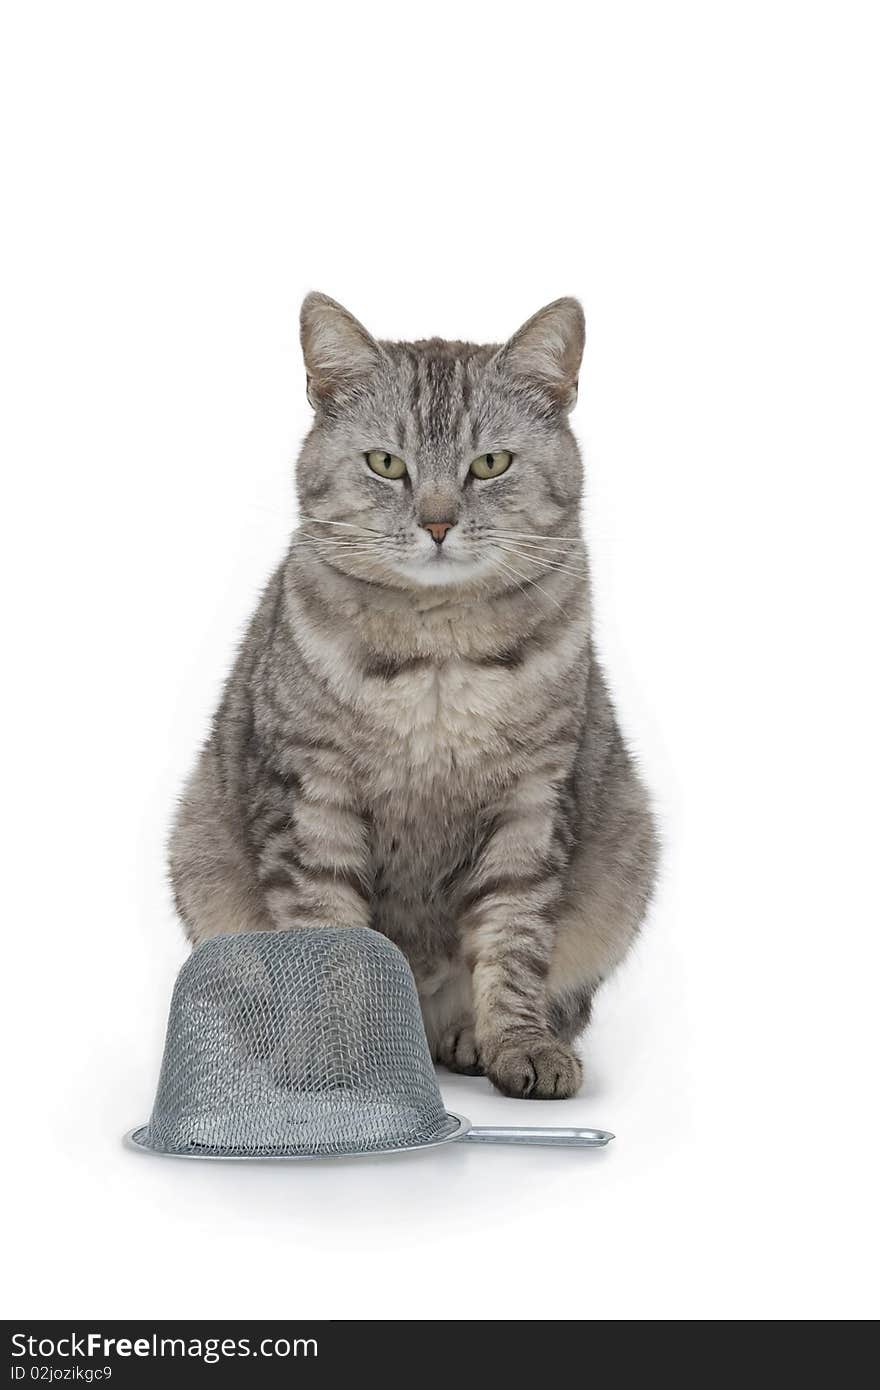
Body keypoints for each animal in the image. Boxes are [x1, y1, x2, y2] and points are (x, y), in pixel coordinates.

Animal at [168, 293, 656, 1095]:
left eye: (489, 464)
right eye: (385, 464)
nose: (436, 522)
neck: (438, 655)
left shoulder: (533, 803)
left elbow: (516, 939)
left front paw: (517, 1043)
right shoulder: (312, 800)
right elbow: (330, 946)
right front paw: (340, 1053)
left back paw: (465, 1039)